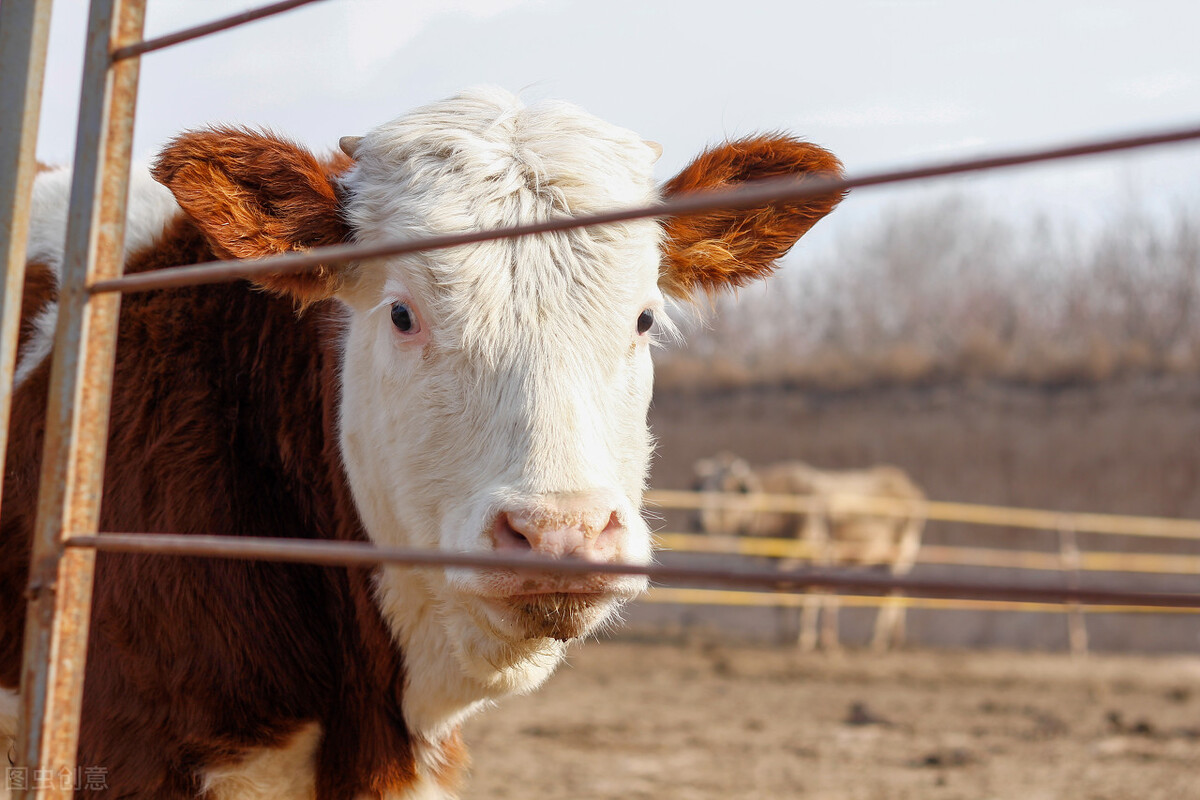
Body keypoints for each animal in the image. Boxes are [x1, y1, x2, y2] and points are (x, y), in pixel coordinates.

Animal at [691, 450, 921, 652]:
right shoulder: (783, 565)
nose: (698, 521)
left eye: (726, 487)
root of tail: (907, 485)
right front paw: (788, 637)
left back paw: (876, 642)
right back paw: (896, 641)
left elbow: (808, 600)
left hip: (901, 554)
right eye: (700, 488)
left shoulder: (815, 558)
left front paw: (806, 640)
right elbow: (785, 600)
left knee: (889, 600)